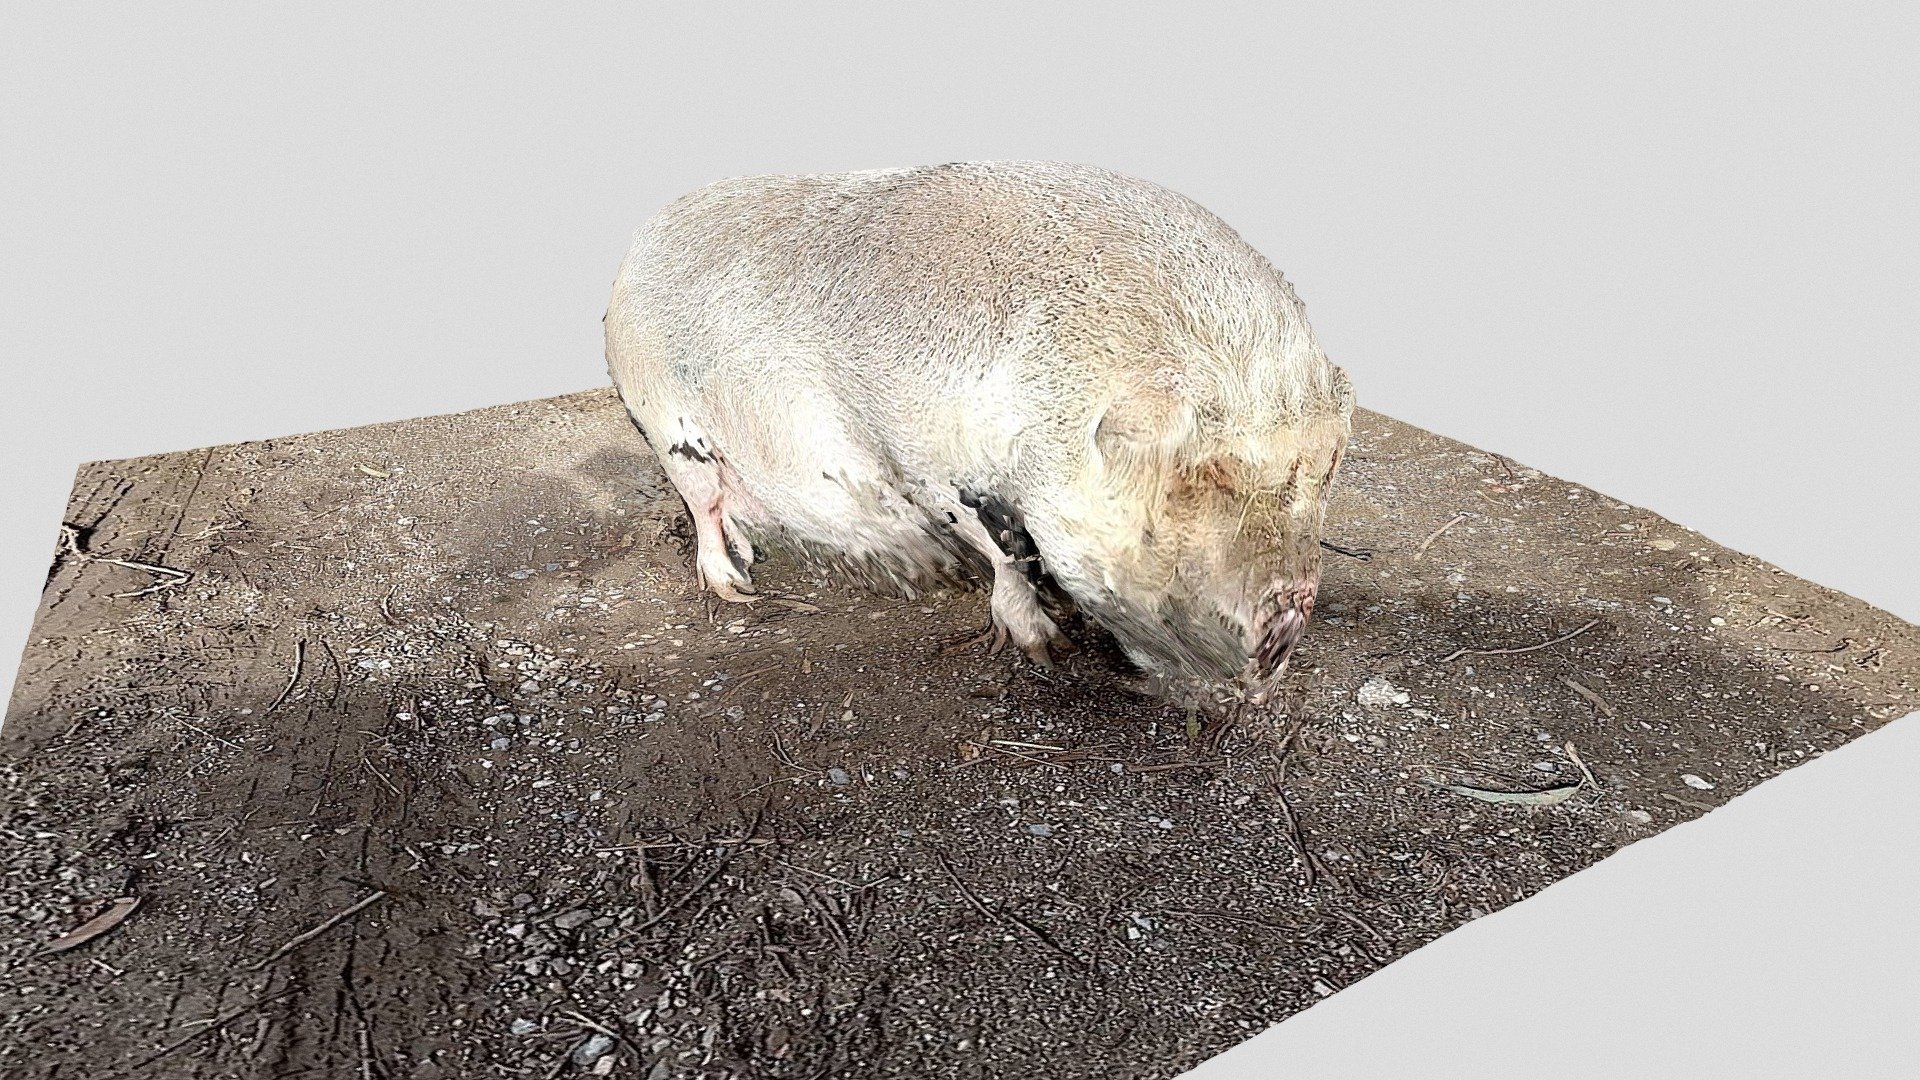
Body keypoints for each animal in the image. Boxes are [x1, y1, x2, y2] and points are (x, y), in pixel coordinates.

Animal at [604, 161, 1353, 703]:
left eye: (1321, 474)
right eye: (1192, 485)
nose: (1289, 608)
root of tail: (640, 241)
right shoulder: (923, 462)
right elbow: (1006, 554)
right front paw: (1046, 647)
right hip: (662, 417)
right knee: (702, 504)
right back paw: (737, 588)